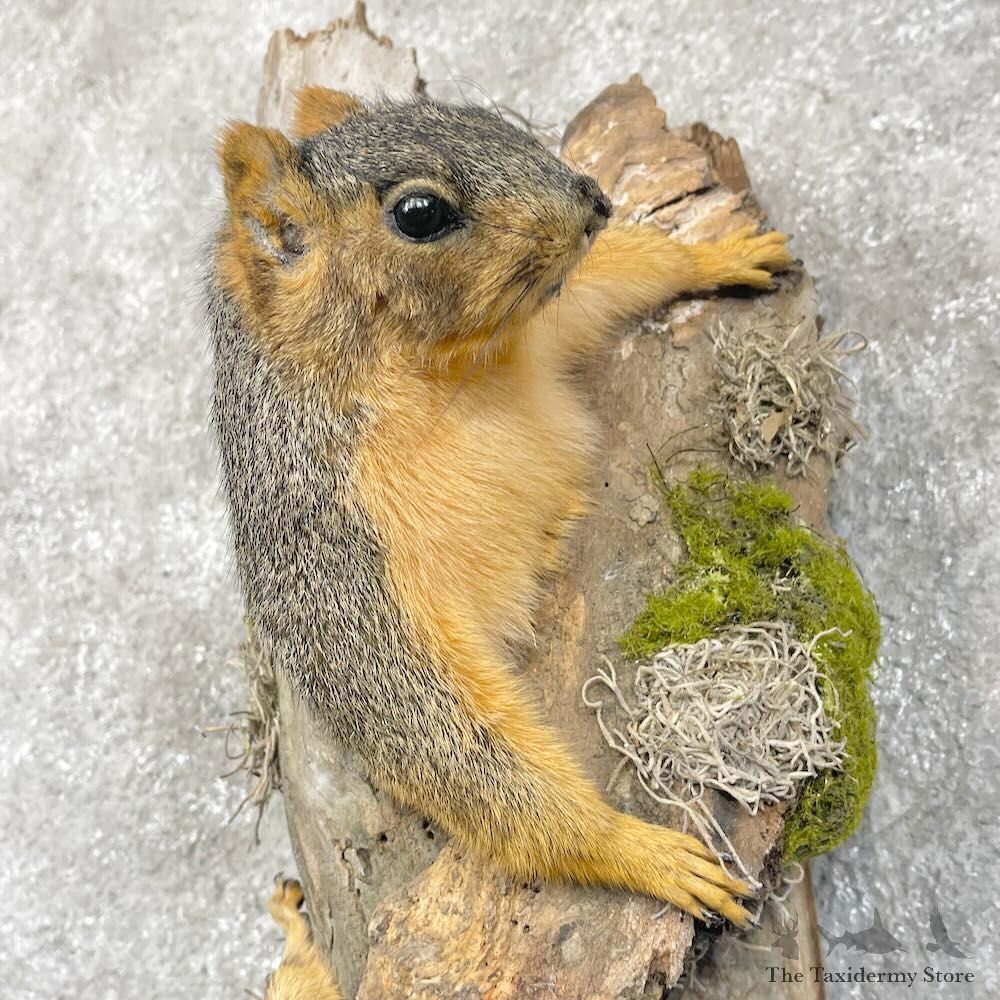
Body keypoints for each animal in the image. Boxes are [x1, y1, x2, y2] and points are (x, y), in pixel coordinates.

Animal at [208, 86, 792, 964]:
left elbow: (606, 282)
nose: (595, 199)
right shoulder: (337, 558)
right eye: (419, 213)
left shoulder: (538, 327)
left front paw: (713, 254)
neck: (436, 375)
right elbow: (430, 721)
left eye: (473, 113)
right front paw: (635, 850)